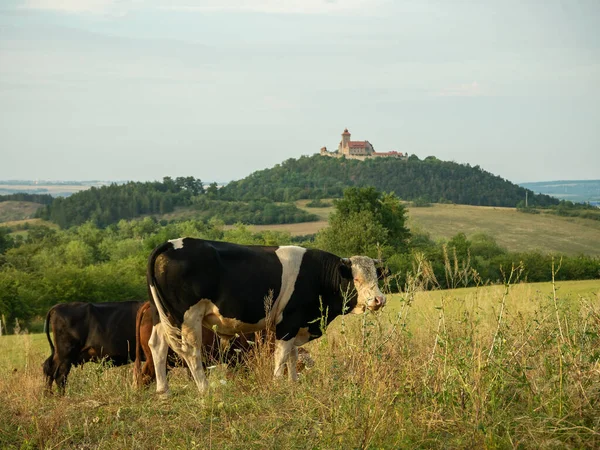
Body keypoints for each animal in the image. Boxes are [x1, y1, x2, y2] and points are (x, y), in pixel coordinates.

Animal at [148, 237, 386, 396]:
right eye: (356, 279)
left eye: (376, 276)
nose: (379, 299)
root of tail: (172, 242)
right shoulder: (288, 322)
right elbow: (282, 355)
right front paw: (278, 383)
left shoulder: (297, 325)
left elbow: (293, 355)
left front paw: (293, 382)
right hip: (188, 317)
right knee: (191, 351)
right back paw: (204, 389)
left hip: (161, 315)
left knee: (157, 344)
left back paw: (163, 391)